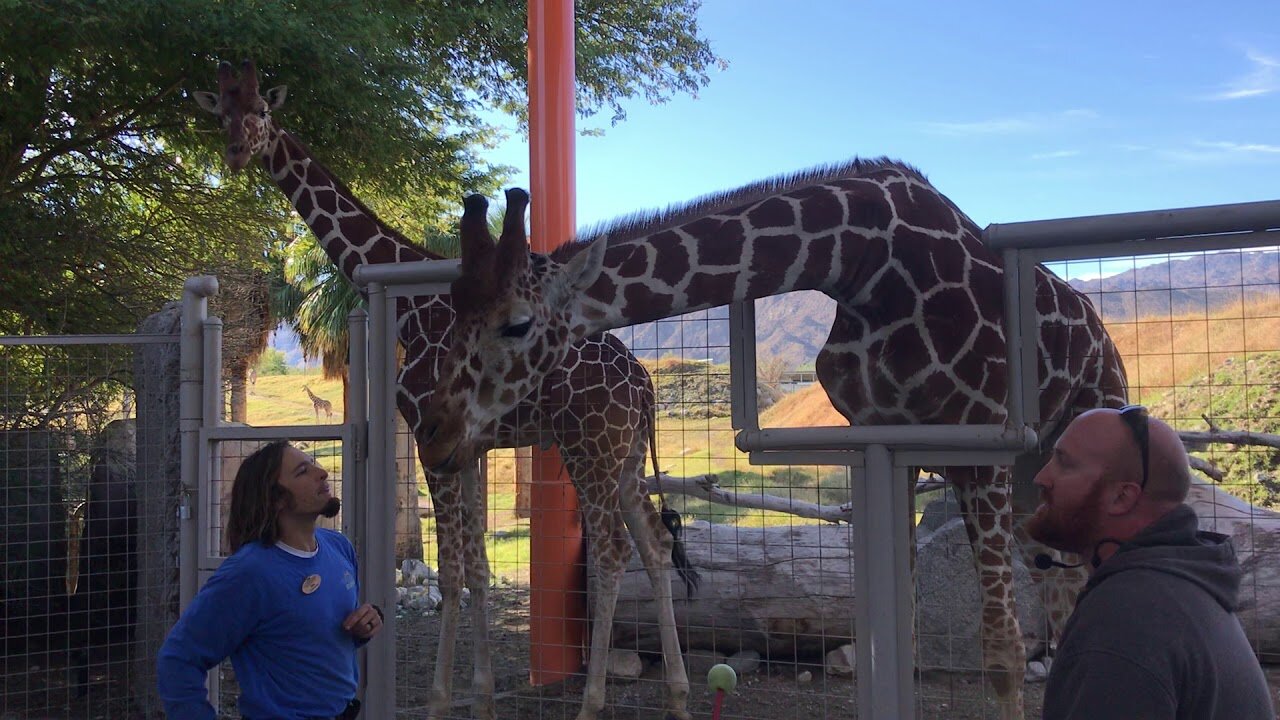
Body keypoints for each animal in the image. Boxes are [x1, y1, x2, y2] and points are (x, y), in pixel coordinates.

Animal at [194, 60, 701, 717]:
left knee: (613, 551)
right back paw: (679, 696)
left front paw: (439, 697)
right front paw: (480, 696)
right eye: (223, 112)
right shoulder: (465, 444)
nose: (235, 151)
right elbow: (478, 566)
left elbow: (452, 569)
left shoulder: (426, 434)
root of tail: (642, 382)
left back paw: (592, 703)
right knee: (654, 542)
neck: (415, 307)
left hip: (589, 447)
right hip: (627, 454)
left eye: (262, 112)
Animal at [414, 162, 1126, 717]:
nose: (433, 433)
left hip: (1054, 445)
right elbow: (895, 633)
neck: (861, 260)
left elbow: (1002, 651)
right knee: (1061, 591)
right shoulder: (883, 442)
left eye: (516, 324)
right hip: (1031, 480)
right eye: (452, 313)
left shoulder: (980, 447)